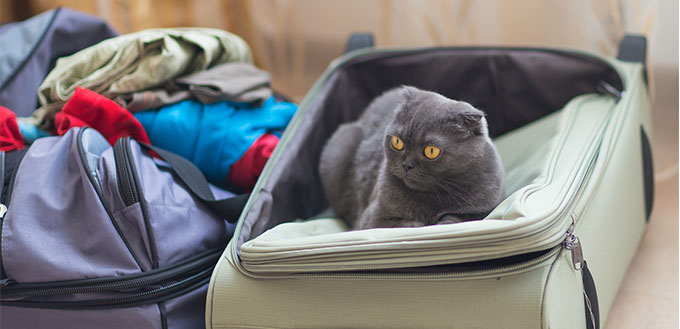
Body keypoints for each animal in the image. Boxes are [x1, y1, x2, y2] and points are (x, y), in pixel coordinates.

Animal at [318, 86, 504, 229]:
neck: (432, 197)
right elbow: (408, 225)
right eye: (397, 142)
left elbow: (457, 219)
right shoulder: (374, 218)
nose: (406, 165)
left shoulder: (485, 207)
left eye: (431, 151)